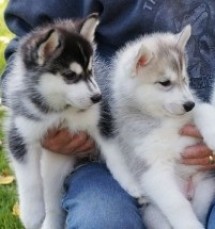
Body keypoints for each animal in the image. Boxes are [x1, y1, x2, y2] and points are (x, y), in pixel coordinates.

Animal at [4, 14, 139, 229]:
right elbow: (29, 180)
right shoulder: (20, 134)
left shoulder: (101, 122)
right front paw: (32, 214)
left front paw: (131, 184)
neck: (61, 110)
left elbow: (116, 156)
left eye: (91, 70)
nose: (98, 97)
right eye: (70, 75)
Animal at [110, 25, 215, 229]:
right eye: (165, 82)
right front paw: (190, 225)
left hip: (206, 189)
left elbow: (204, 110)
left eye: (185, 79)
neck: (163, 119)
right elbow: (177, 205)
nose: (189, 104)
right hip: (154, 214)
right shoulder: (153, 170)